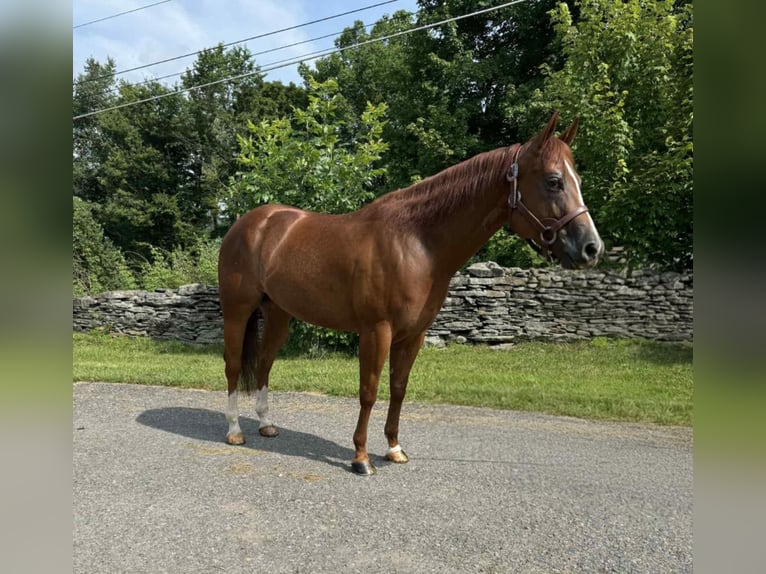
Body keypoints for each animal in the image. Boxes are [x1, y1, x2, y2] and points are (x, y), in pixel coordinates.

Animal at [217, 111, 603, 475]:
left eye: (578, 181)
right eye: (554, 181)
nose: (591, 248)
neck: (417, 243)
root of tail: (248, 223)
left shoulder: (413, 335)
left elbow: (398, 389)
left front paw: (394, 448)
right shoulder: (377, 331)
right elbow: (369, 391)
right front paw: (361, 458)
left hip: (278, 313)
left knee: (264, 363)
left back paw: (266, 425)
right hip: (237, 312)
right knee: (234, 365)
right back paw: (234, 431)